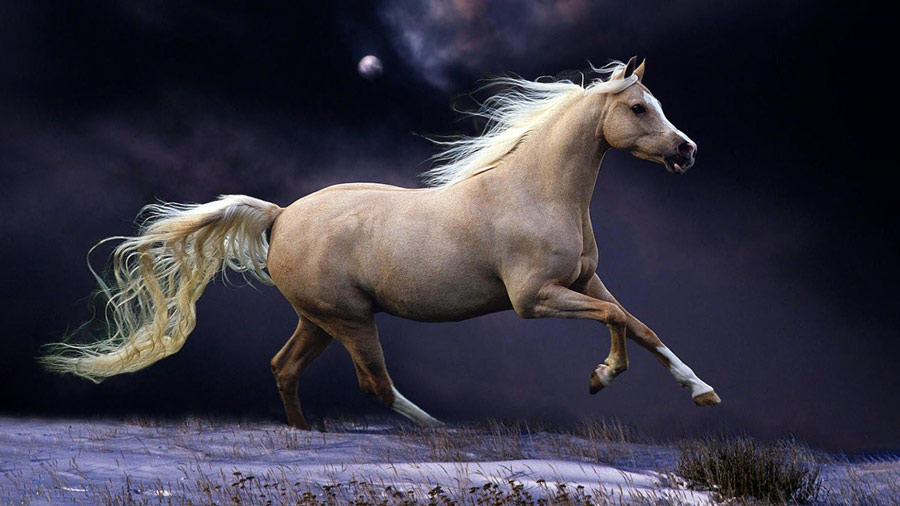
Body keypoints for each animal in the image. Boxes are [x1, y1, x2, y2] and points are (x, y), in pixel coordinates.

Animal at [42, 57, 720, 429]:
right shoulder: (535, 298)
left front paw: (703, 392)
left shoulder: (583, 281)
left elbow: (639, 324)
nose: (687, 151)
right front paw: (602, 377)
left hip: (318, 319)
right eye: (638, 108)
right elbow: (617, 321)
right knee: (376, 385)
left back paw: (307, 435)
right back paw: (447, 432)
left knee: (284, 367)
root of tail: (280, 217)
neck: (536, 192)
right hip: (349, 319)